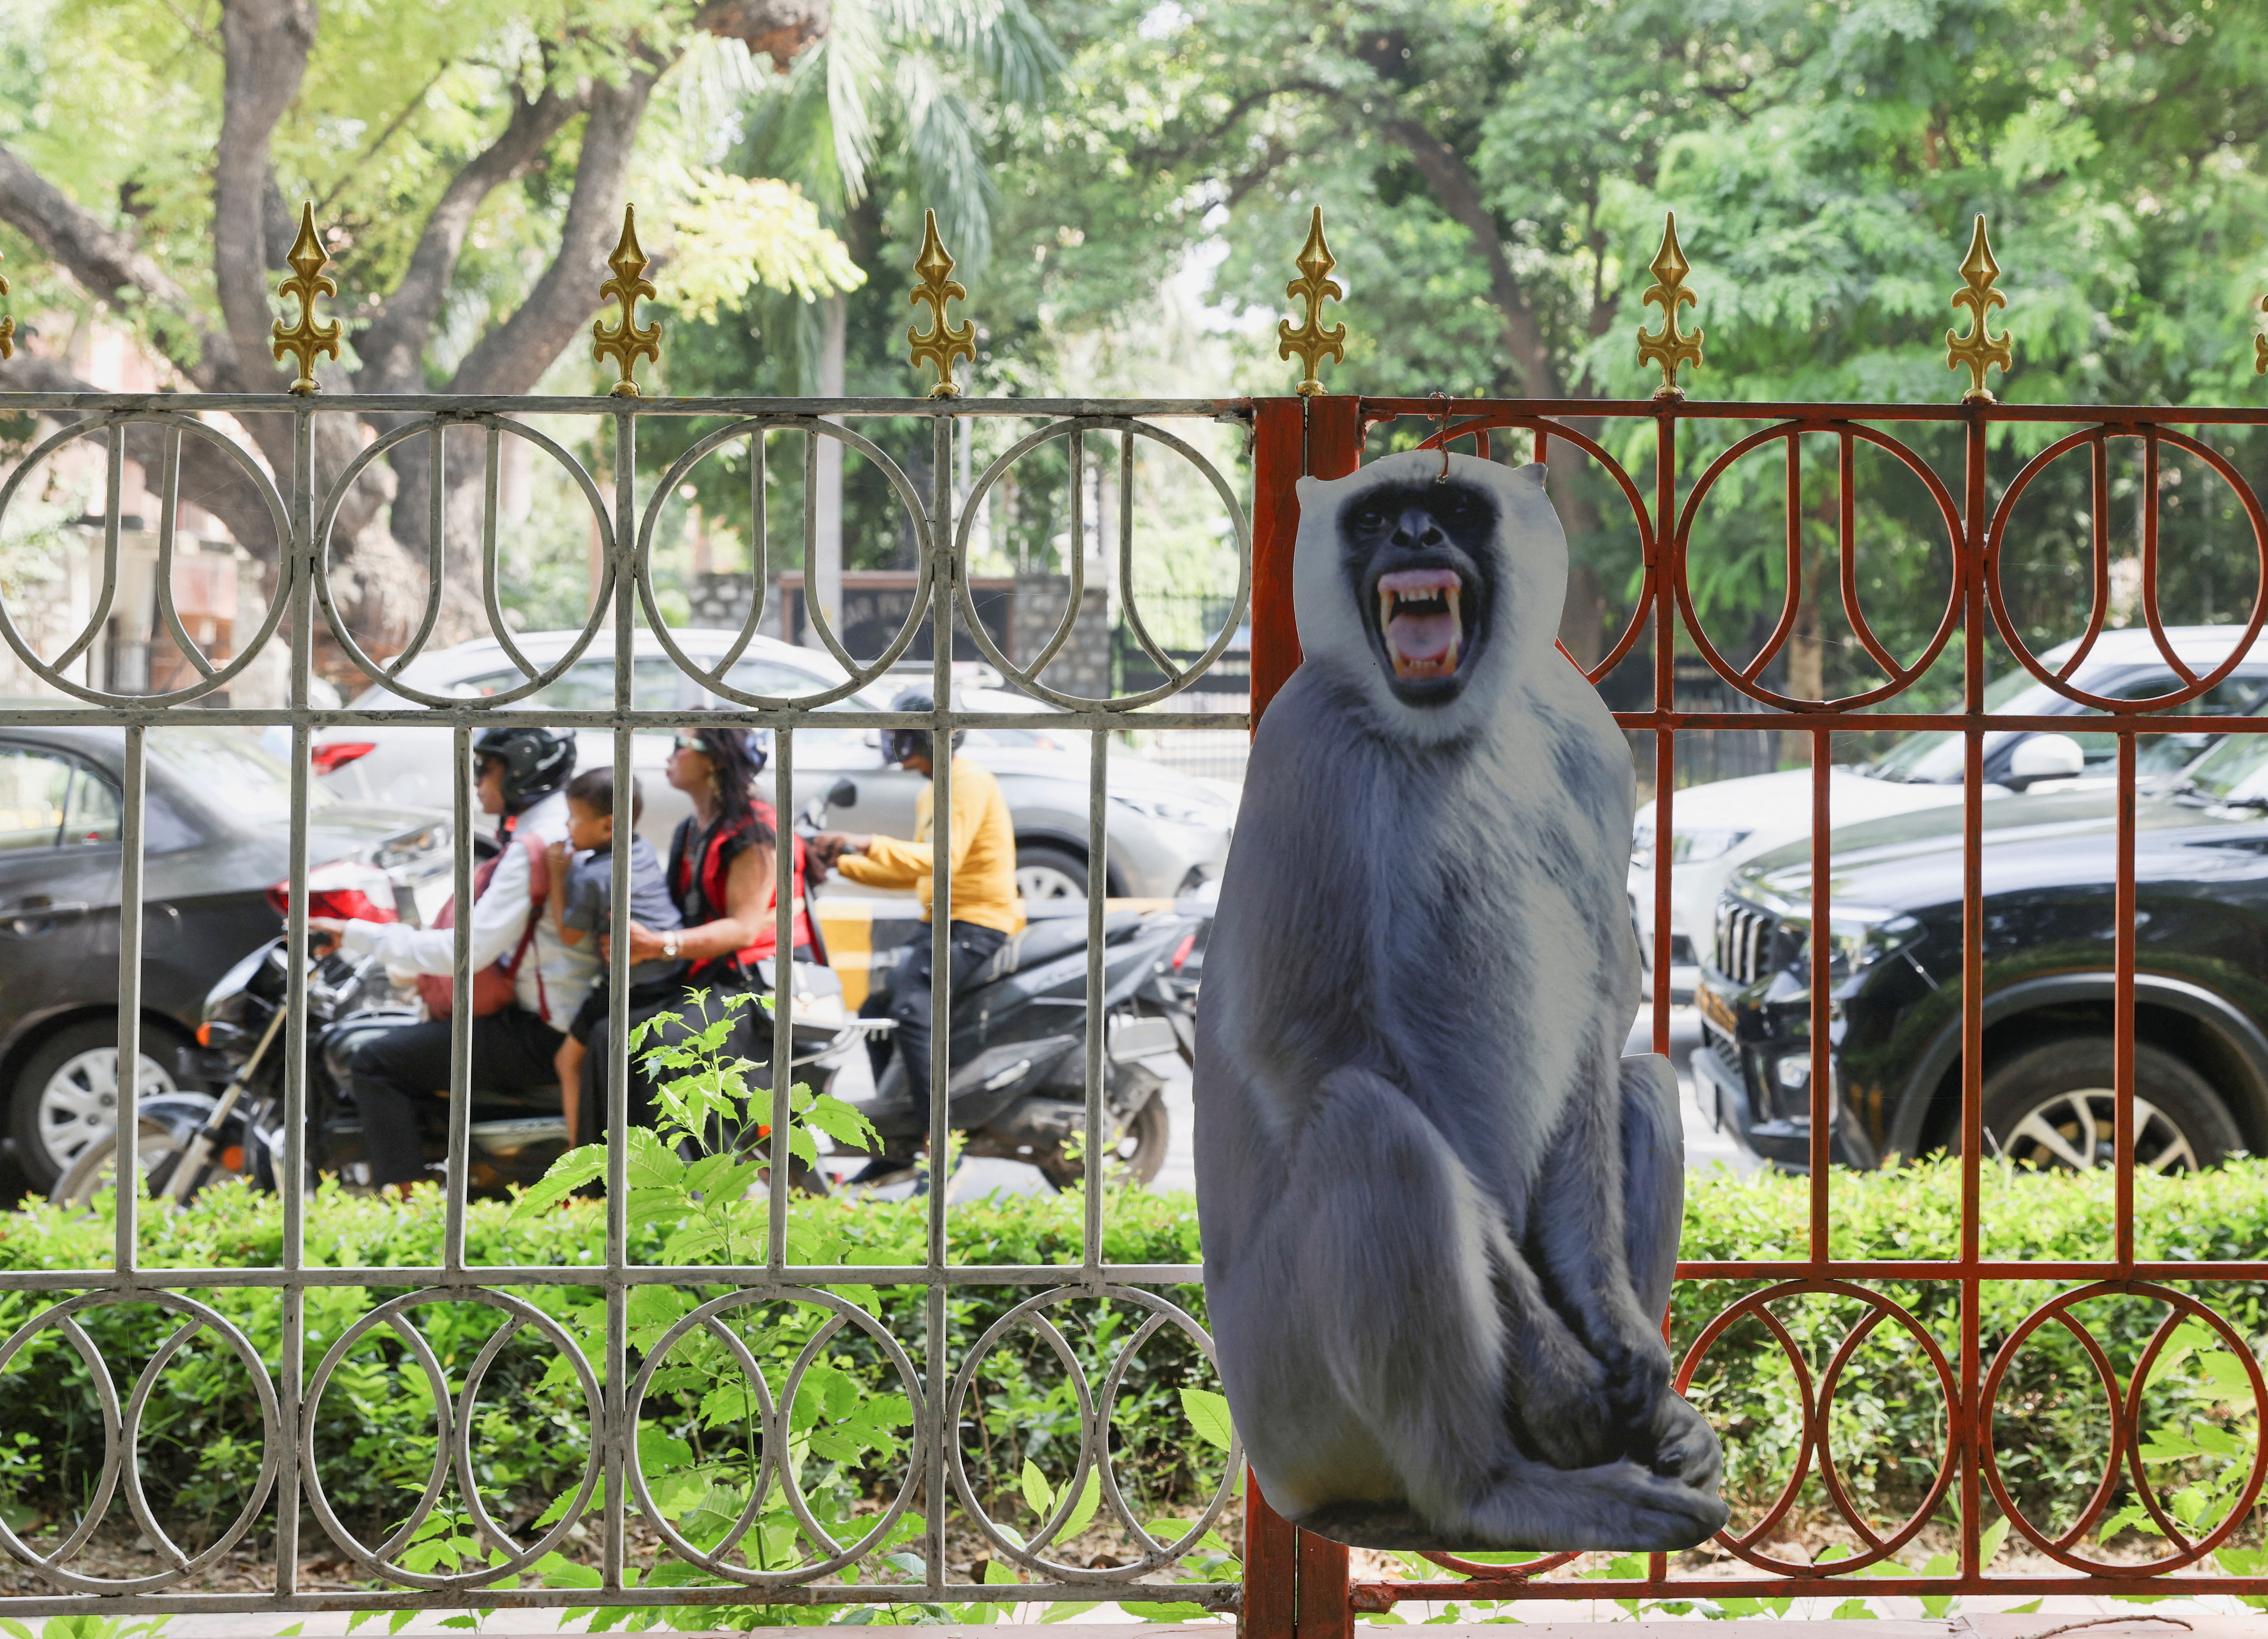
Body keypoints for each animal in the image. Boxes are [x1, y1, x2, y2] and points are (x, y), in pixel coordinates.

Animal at [1198, 449, 1724, 1550]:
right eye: (1376, 518)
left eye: (1448, 507)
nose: (1413, 537)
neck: (1444, 727)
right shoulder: (1303, 742)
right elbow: (1301, 1043)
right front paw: (1563, 1373)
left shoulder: (1589, 741)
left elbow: (1597, 1022)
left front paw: (1619, 1336)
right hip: (1286, 1395)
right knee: (1372, 1125)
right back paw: (1491, 1487)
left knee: (1645, 1083)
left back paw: (1655, 1427)